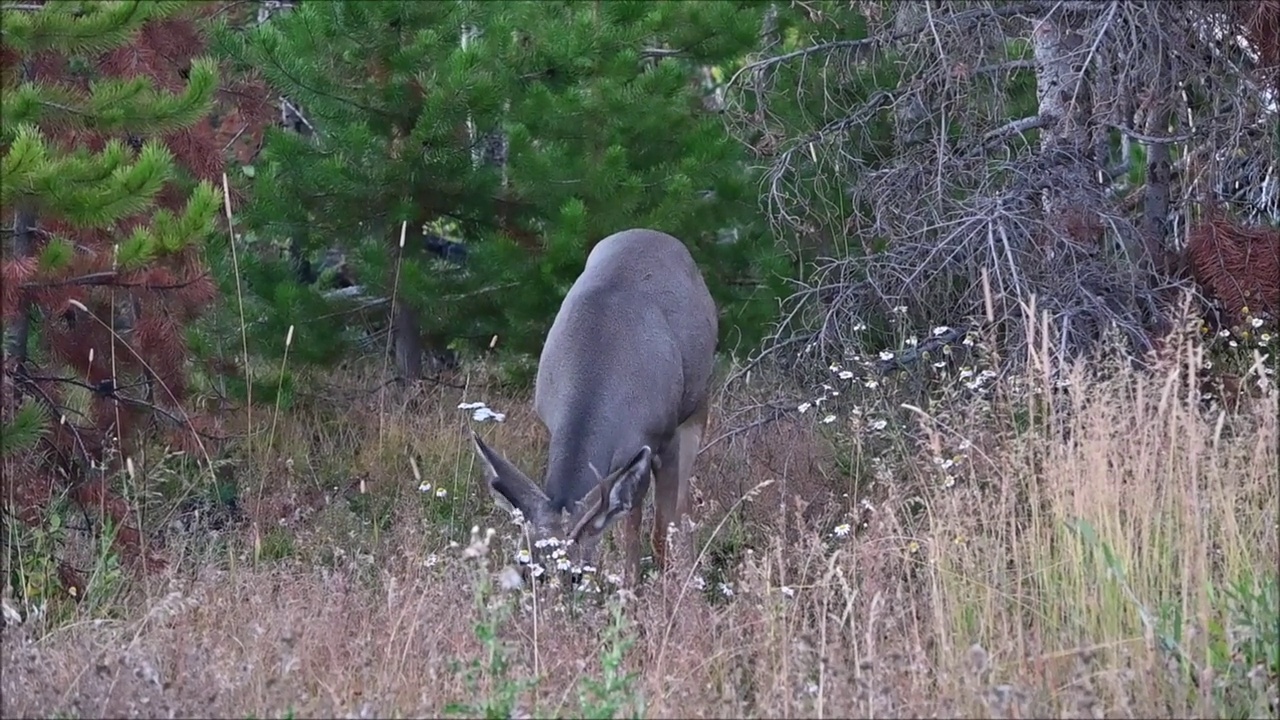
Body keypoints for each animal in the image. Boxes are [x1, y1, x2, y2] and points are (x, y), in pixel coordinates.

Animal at [471, 228, 721, 584]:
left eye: (577, 574)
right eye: (528, 568)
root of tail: (654, 233)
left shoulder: (660, 435)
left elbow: (651, 530)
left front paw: (641, 588)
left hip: (698, 404)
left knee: (677, 511)